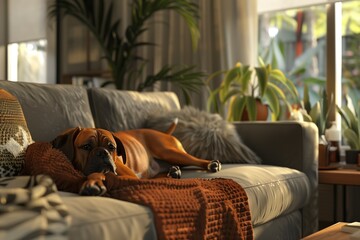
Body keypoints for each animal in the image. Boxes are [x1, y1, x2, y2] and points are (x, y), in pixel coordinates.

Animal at [51, 124, 221, 195]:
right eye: (86, 146)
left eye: (111, 147)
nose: (103, 152)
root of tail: (163, 132)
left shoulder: (127, 175)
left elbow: (101, 173)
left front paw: (93, 182)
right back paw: (173, 172)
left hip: (168, 151)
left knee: (195, 159)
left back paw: (211, 164)